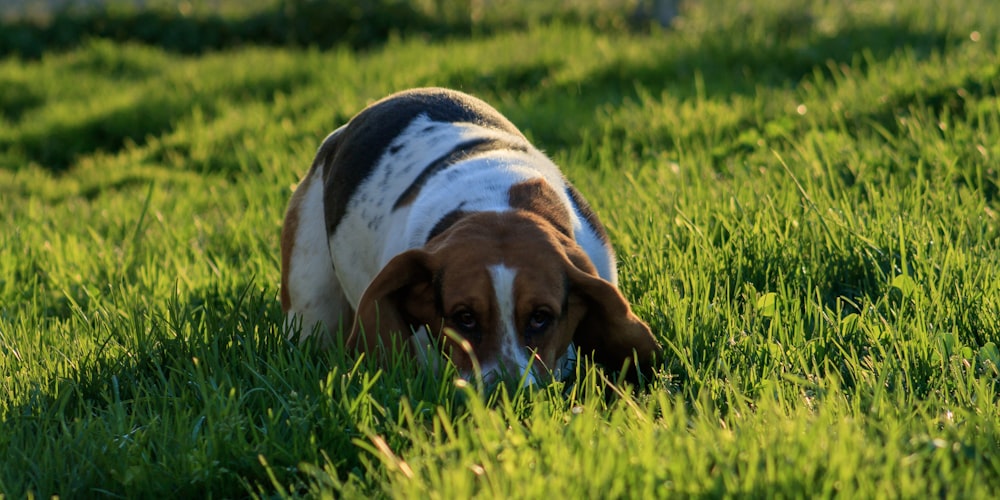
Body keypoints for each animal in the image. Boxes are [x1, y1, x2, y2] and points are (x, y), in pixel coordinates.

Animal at [278, 88, 660, 384]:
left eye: (541, 317)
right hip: (312, 306)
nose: (507, 390)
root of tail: (340, 133)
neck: (496, 202)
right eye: (464, 317)